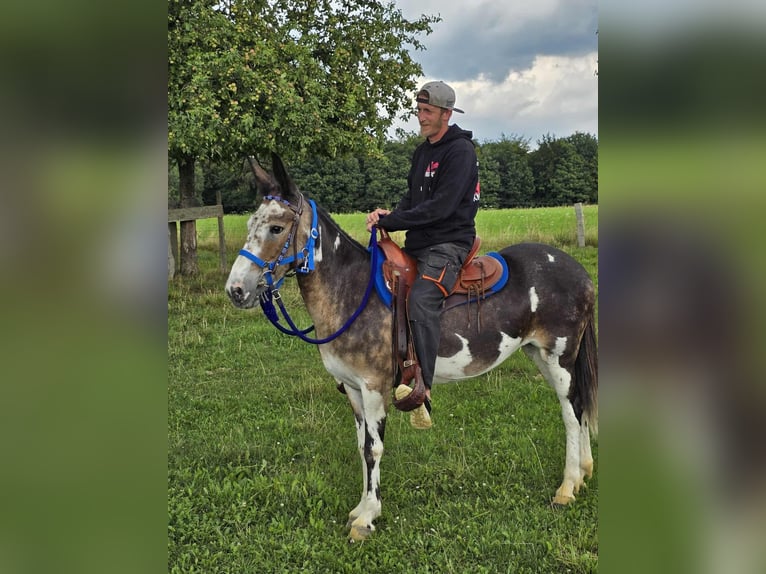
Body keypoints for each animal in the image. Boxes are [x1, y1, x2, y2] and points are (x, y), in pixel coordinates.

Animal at [225, 153, 598, 542]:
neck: (352, 292)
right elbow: (361, 445)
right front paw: (360, 507)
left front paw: (367, 518)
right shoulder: (353, 390)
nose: (235, 290)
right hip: (540, 354)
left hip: (560, 358)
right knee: (580, 406)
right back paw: (584, 473)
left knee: (572, 413)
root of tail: (577, 270)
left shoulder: (374, 387)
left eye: (276, 228)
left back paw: (567, 487)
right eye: (251, 223)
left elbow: (374, 448)